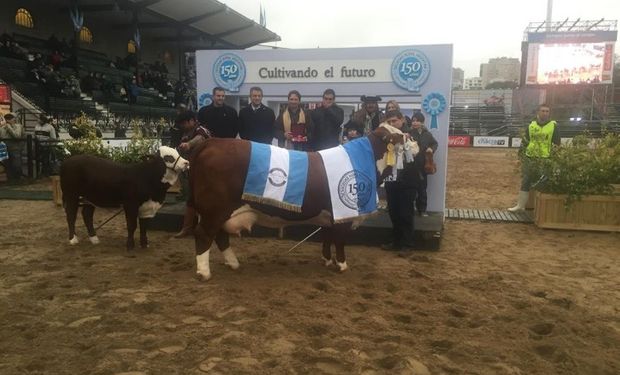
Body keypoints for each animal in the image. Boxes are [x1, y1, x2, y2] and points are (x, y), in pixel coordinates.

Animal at [189, 127, 412, 282]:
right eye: (397, 134)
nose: (409, 136)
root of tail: (213, 142)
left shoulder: (329, 216)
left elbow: (327, 237)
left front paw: (327, 260)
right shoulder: (342, 215)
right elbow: (339, 240)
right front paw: (342, 265)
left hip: (220, 212)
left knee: (220, 236)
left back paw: (233, 263)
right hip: (214, 209)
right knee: (204, 234)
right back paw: (203, 273)